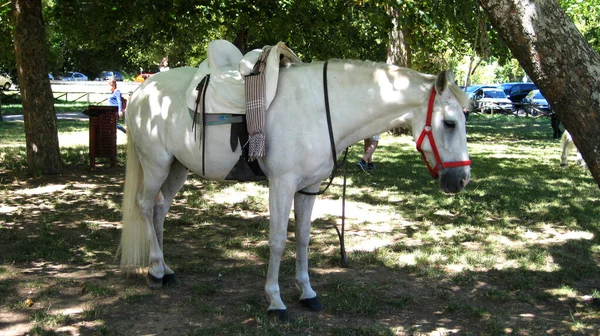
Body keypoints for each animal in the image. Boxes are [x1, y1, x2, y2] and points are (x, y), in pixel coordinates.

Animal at [118, 57, 474, 320]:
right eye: (450, 123)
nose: (461, 180)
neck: (320, 109)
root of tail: (142, 91)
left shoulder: (308, 187)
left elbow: (303, 238)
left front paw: (307, 293)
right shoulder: (282, 185)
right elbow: (277, 241)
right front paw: (275, 301)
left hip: (177, 168)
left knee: (160, 210)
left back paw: (165, 269)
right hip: (156, 164)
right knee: (145, 206)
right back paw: (155, 271)